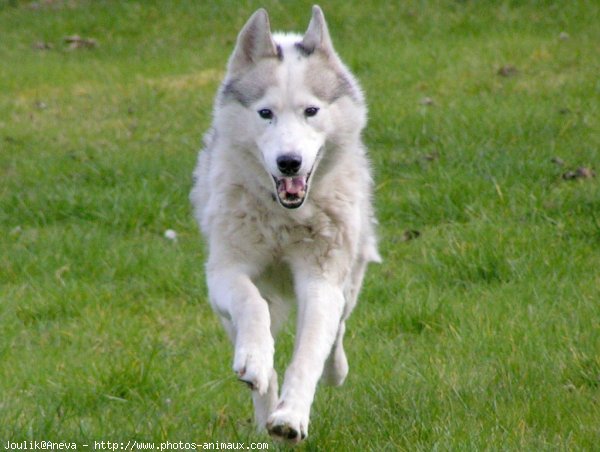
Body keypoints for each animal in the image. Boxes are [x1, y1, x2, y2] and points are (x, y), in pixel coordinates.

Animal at [190, 5, 382, 444]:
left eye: (311, 111)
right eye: (266, 113)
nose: (289, 163)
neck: (284, 217)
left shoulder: (320, 281)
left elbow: (309, 352)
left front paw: (292, 417)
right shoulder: (226, 273)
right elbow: (251, 306)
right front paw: (256, 366)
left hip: (350, 278)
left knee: (338, 330)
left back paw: (332, 373)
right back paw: (263, 408)